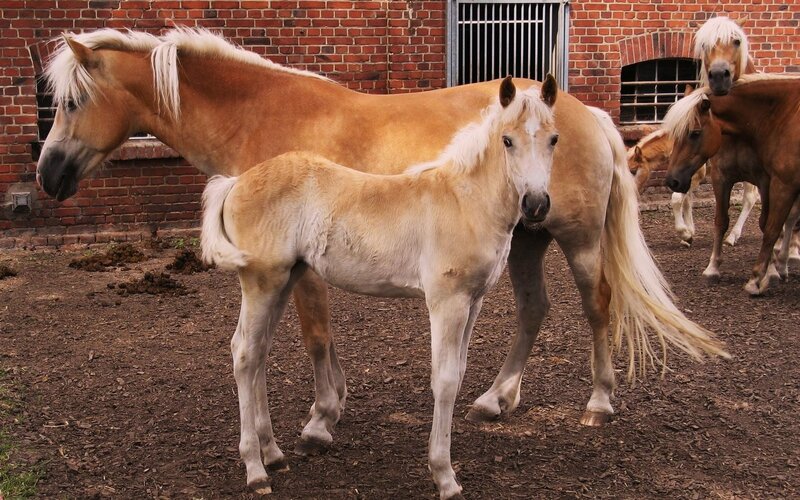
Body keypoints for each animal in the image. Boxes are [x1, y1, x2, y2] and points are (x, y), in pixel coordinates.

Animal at [36, 29, 726, 453]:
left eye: (70, 102)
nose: (48, 175)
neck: (263, 113)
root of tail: (589, 114)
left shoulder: (300, 269)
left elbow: (316, 336)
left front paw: (320, 420)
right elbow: (317, 339)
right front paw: (329, 408)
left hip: (575, 239)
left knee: (597, 307)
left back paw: (599, 402)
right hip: (529, 239)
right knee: (535, 309)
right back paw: (494, 399)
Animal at [198, 77, 559, 498]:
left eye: (553, 139)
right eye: (507, 140)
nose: (536, 205)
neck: (464, 202)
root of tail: (237, 181)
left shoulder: (474, 301)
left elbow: (459, 371)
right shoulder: (447, 302)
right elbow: (445, 380)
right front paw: (444, 474)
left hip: (283, 280)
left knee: (258, 354)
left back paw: (273, 454)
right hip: (261, 281)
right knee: (244, 353)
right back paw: (255, 469)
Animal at [664, 75, 800, 295]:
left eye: (695, 133)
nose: (672, 180)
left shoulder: (778, 182)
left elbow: (770, 227)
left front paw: (760, 277)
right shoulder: (723, 178)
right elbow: (721, 221)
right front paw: (712, 269)